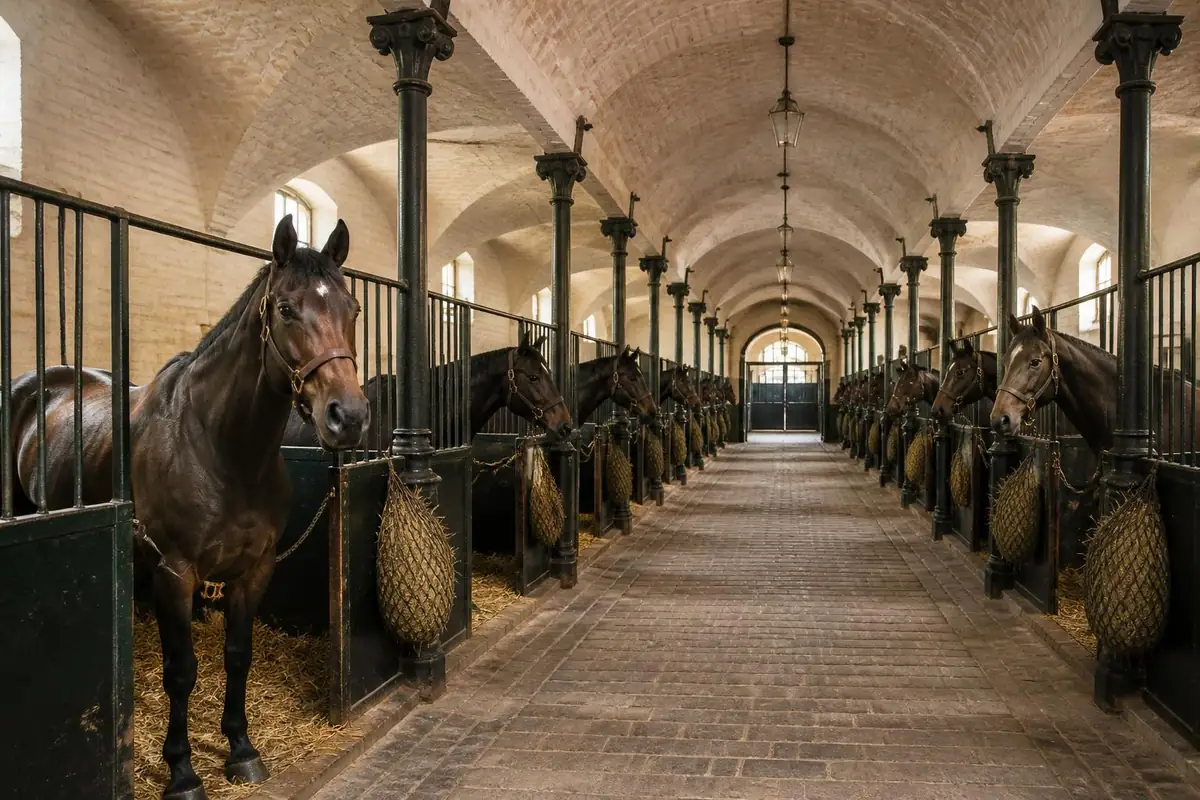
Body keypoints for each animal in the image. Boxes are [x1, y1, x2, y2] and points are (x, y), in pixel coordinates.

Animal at [6, 216, 368, 799]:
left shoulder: (255, 570)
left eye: (353, 309)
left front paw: (242, 750)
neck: (224, 450)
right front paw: (181, 772)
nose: (348, 417)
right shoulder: (175, 573)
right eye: (285, 308)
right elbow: (182, 670)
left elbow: (237, 655)